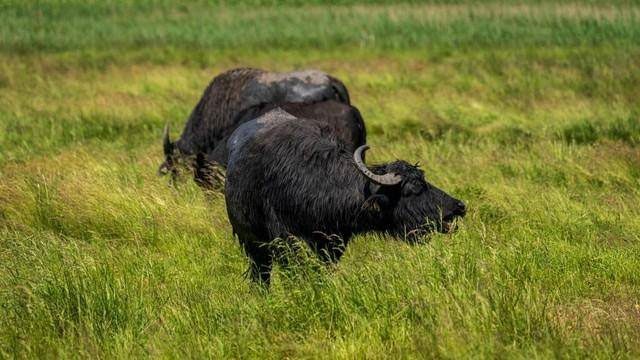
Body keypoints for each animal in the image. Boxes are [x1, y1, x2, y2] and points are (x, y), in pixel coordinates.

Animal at [224, 108, 464, 286]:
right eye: (415, 188)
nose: (459, 207)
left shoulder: (334, 242)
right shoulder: (284, 240)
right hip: (251, 242)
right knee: (261, 272)